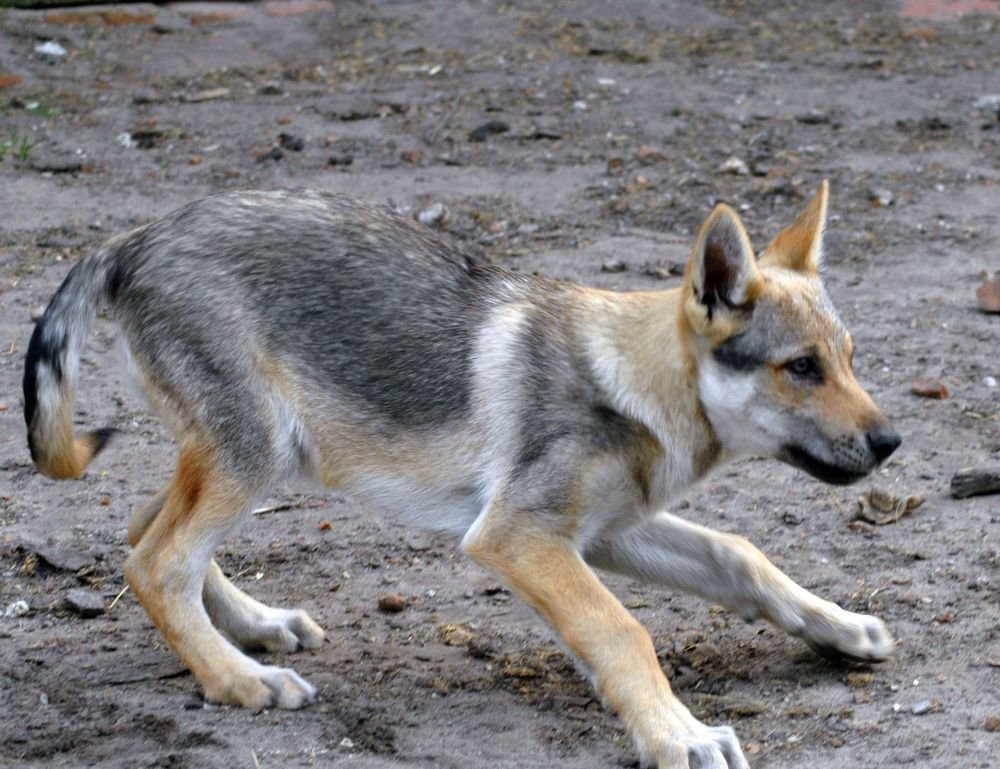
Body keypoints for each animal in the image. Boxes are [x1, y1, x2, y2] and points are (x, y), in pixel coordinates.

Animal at [23, 181, 900, 769]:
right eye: (802, 367)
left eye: (851, 359)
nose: (891, 440)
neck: (634, 384)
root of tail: (134, 236)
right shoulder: (516, 535)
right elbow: (624, 629)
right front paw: (676, 734)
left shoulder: (602, 535)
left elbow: (741, 556)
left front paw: (837, 626)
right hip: (254, 459)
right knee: (155, 562)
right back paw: (241, 680)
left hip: (251, 460)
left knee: (144, 526)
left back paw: (259, 626)